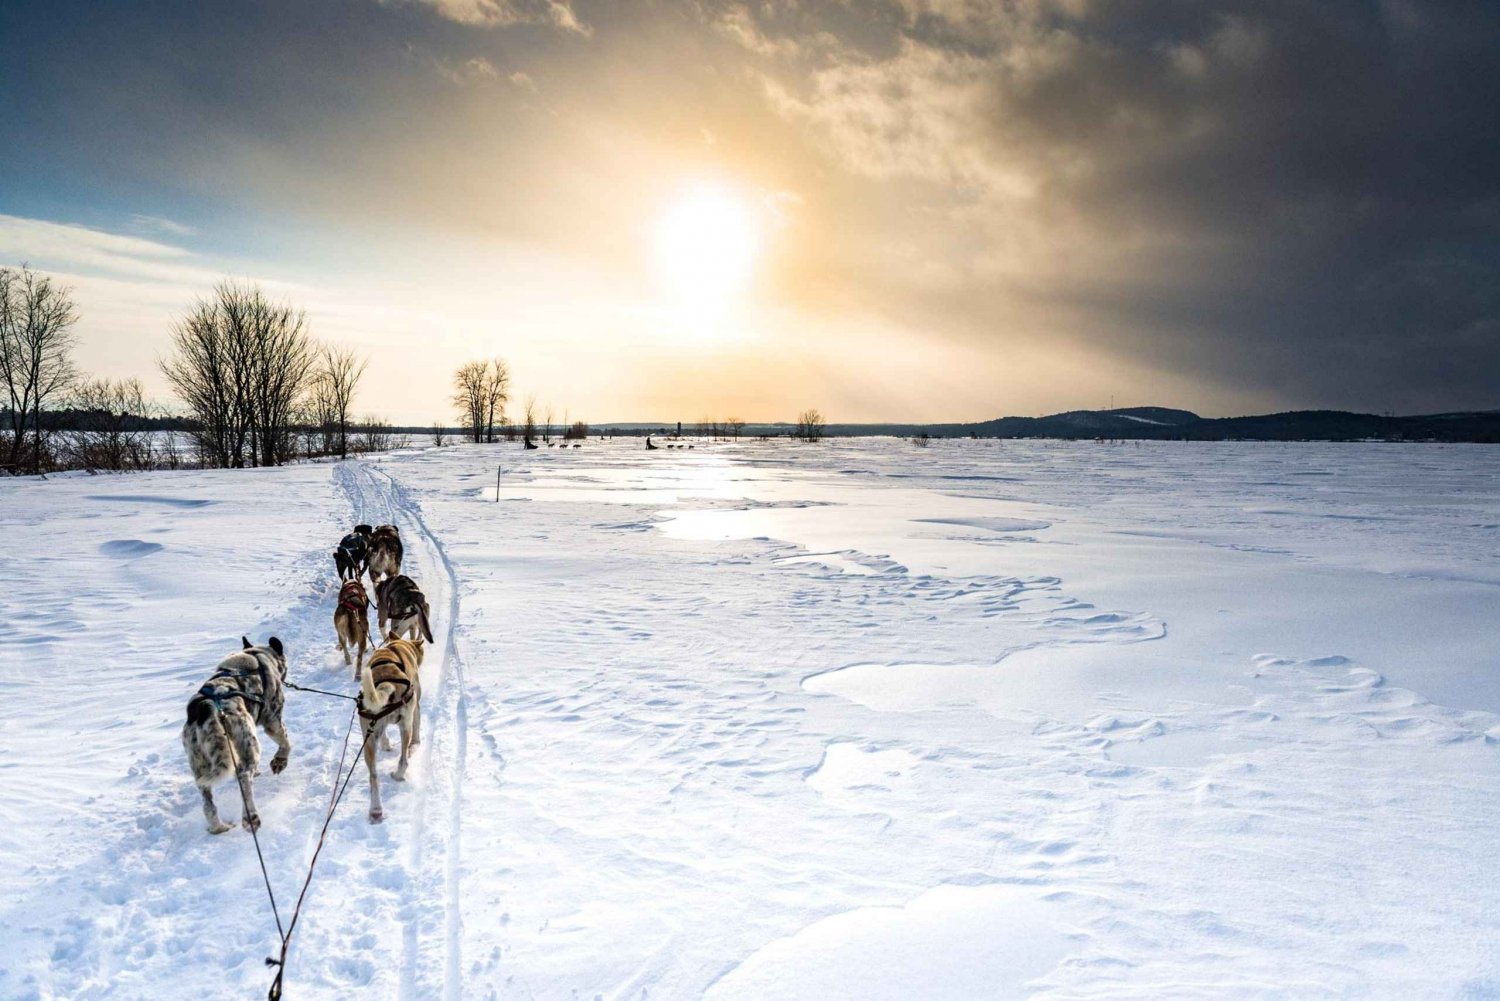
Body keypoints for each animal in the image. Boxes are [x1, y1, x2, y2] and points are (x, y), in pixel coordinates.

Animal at [181, 639, 292, 834]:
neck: (256, 654)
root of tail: (208, 708)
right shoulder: (272, 721)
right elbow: (286, 743)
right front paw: (280, 761)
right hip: (249, 743)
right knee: (245, 777)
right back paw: (250, 818)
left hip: (200, 764)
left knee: (208, 804)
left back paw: (219, 827)